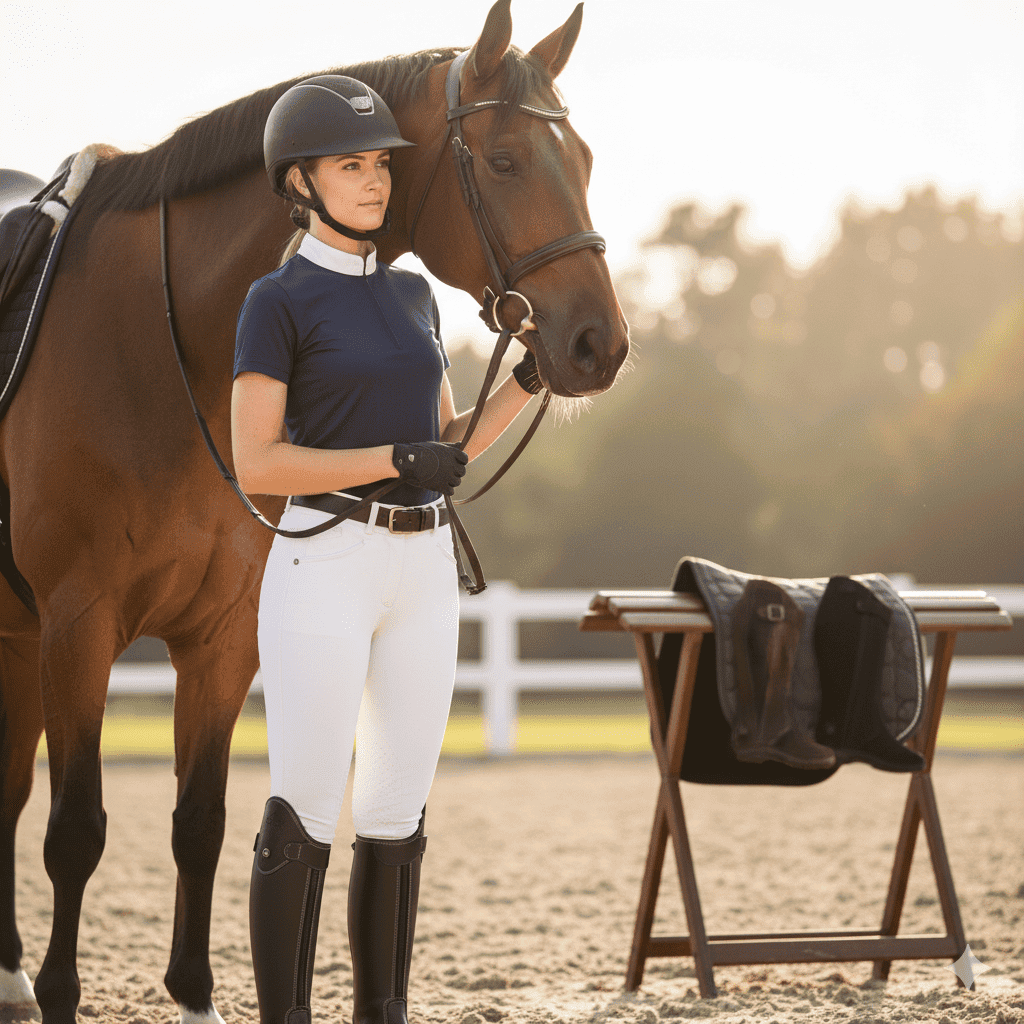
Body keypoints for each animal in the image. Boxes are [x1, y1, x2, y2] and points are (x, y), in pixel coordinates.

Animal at [0, 2, 629, 1022]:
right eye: (503, 161)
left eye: (582, 160)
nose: (595, 345)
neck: (165, 343)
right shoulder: (77, 626)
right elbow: (76, 831)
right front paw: (62, 994)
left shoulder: (220, 640)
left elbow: (201, 822)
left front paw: (195, 995)